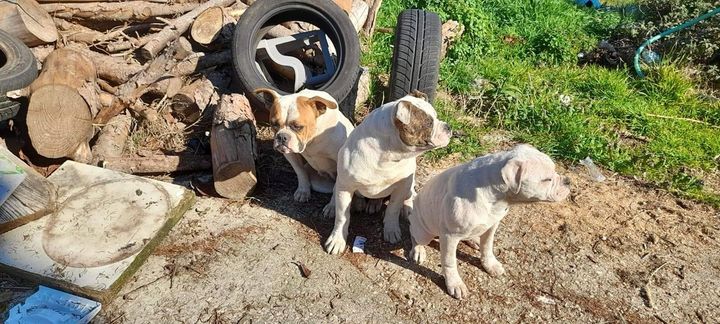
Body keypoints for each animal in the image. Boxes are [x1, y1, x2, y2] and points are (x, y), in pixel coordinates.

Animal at [324, 90, 450, 254]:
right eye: (429, 123)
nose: (448, 127)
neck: (388, 155)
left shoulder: (401, 188)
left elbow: (393, 210)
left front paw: (391, 230)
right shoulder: (345, 187)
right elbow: (342, 216)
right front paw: (337, 239)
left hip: (408, 187)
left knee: (408, 196)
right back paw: (338, 205)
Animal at [410, 144, 568, 298]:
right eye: (547, 180)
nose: (568, 181)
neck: (495, 195)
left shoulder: (492, 225)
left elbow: (487, 247)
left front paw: (490, 265)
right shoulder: (450, 236)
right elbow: (449, 262)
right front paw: (455, 284)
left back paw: (473, 240)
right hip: (423, 231)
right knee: (415, 236)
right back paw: (418, 250)